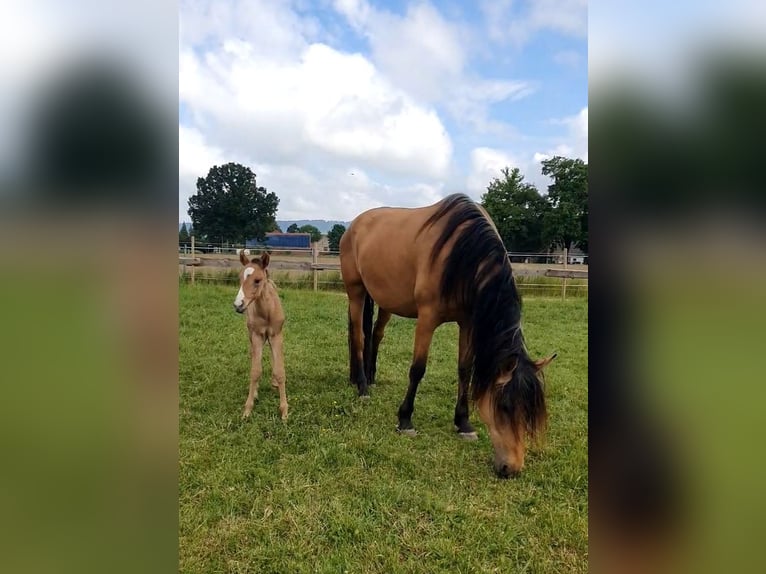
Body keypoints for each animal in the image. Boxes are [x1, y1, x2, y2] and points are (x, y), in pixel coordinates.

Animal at [233, 250, 288, 420]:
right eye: (239, 278)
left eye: (257, 280)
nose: (238, 305)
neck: (266, 312)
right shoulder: (257, 336)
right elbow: (255, 371)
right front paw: (248, 409)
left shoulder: (276, 335)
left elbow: (280, 371)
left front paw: (284, 411)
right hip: (252, 335)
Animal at [340, 193, 555, 478]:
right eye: (505, 406)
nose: (512, 468)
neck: (462, 252)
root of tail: (354, 225)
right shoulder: (427, 319)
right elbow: (417, 369)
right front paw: (405, 420)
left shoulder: (467, 323)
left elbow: (465, 370)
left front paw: (464, 423)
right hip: (356, 292)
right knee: (357, 336)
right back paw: (363, 386)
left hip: (383, 299)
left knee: (374, 334)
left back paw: (366, 377)